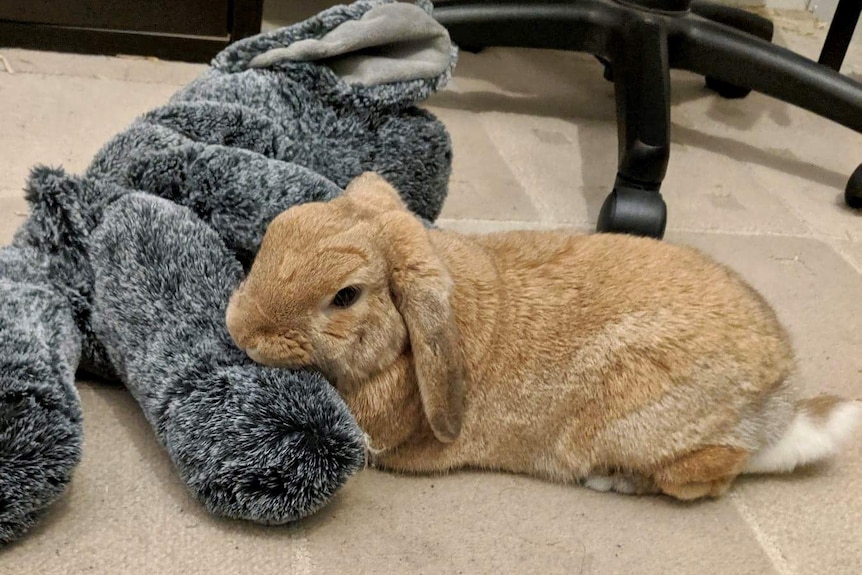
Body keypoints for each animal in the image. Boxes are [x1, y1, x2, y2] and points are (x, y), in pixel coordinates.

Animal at [224, 171, 862, 500]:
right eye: (279, 228)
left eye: (346, 296)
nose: (240, 330)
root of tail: (781, 402)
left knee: (713, 475)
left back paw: (615, 481)